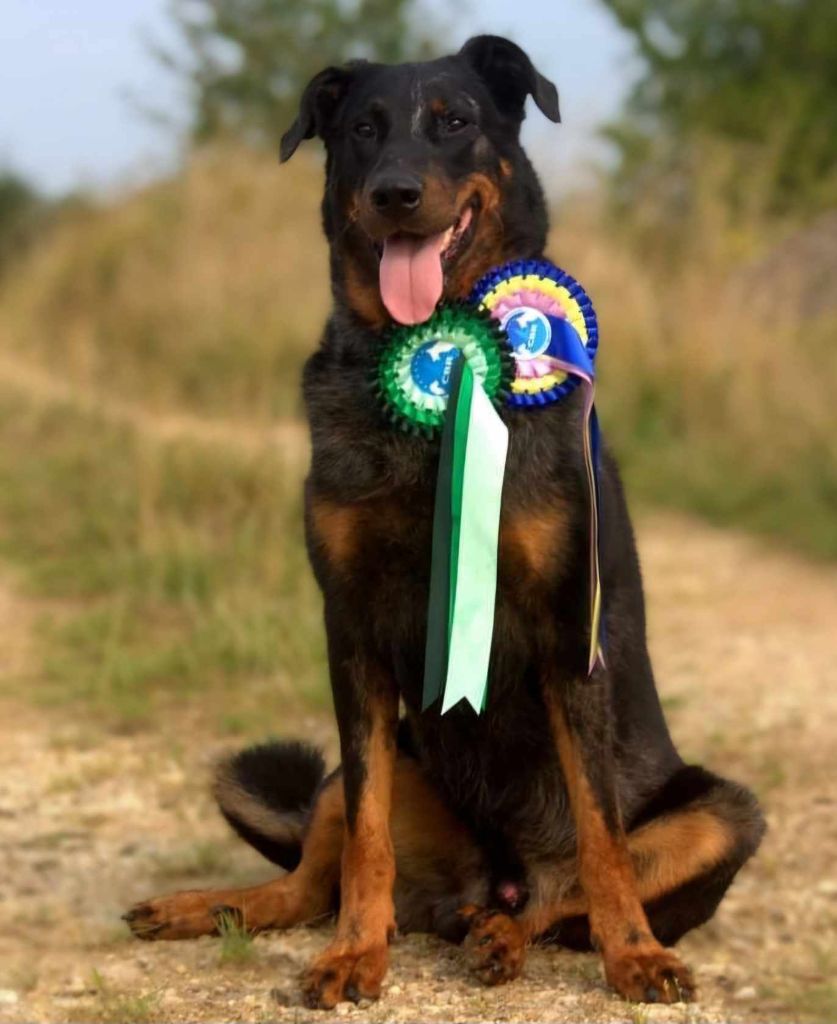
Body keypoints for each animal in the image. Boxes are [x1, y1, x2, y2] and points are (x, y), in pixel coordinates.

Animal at [123, 37, 762, 1007]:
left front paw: (634, 955)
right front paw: (354, 954)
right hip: (373, 756)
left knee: (566, 891)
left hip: (724, 812)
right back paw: (216, 906)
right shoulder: (350, 631)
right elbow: (367, 840)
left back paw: (504, 937)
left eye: (454, 121)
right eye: (362, 130)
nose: (394, 192)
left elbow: (603, 839)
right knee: (311, 879)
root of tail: (484, 881)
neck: (436, 363)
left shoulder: (566, 628)